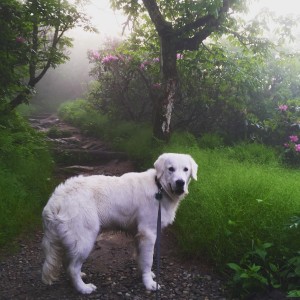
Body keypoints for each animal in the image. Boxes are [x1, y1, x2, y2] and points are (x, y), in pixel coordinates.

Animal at [41, 154, 197, 294]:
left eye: (186, 169)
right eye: (171, 169)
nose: (180, 182)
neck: (159, 187)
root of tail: (55, 199)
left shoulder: (139, 234)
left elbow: (141, 258)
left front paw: (144, 275)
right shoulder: (148, 234)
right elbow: (148, 260)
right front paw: (149, 283)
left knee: (68, 263)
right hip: (84, 239)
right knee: (72, 268)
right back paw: (83, 288)